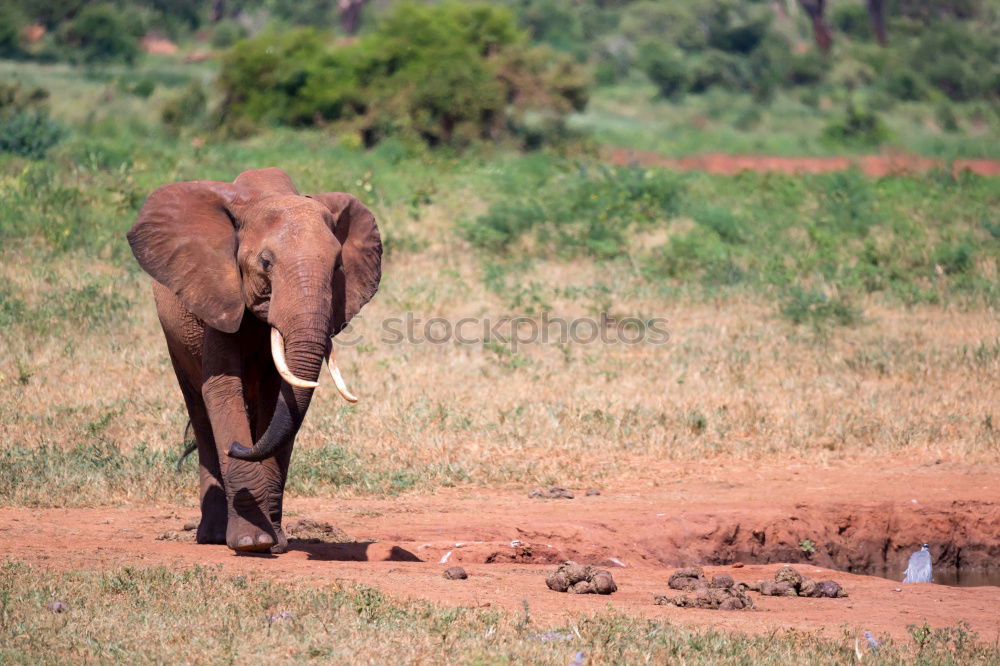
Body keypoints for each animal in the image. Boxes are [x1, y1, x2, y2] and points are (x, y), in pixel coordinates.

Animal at [128, 166, 382, 548]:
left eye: (338, 265)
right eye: (266, 262)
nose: (235, 447)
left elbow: (278, 399)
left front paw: (275, 541)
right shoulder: (218, 293)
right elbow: (221, 389)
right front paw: (253, 543)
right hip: (174, 333)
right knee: (200, 412)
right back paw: (212, 536)